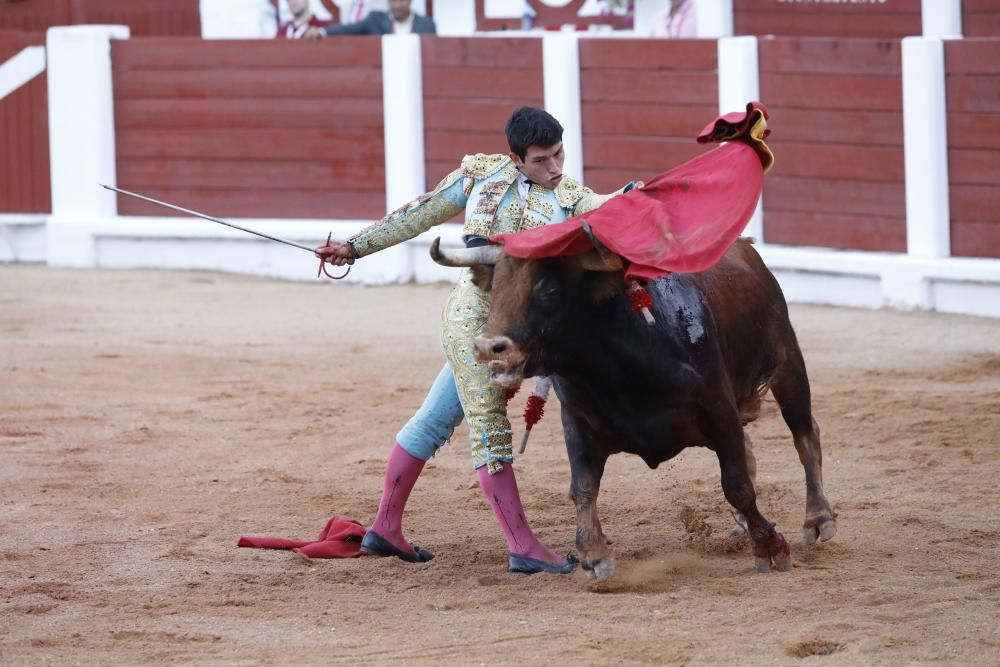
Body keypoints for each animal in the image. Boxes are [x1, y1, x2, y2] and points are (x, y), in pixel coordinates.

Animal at [430, 236, 836, 580]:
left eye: (550, 290)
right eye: (494, 287)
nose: (489, 347)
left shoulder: (719, 409)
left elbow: (736, 484)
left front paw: (770, 548)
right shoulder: (576, 420)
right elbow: (583, 487)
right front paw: (594, 555)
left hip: (787, 361)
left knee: (804, 435)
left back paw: (818, 519)